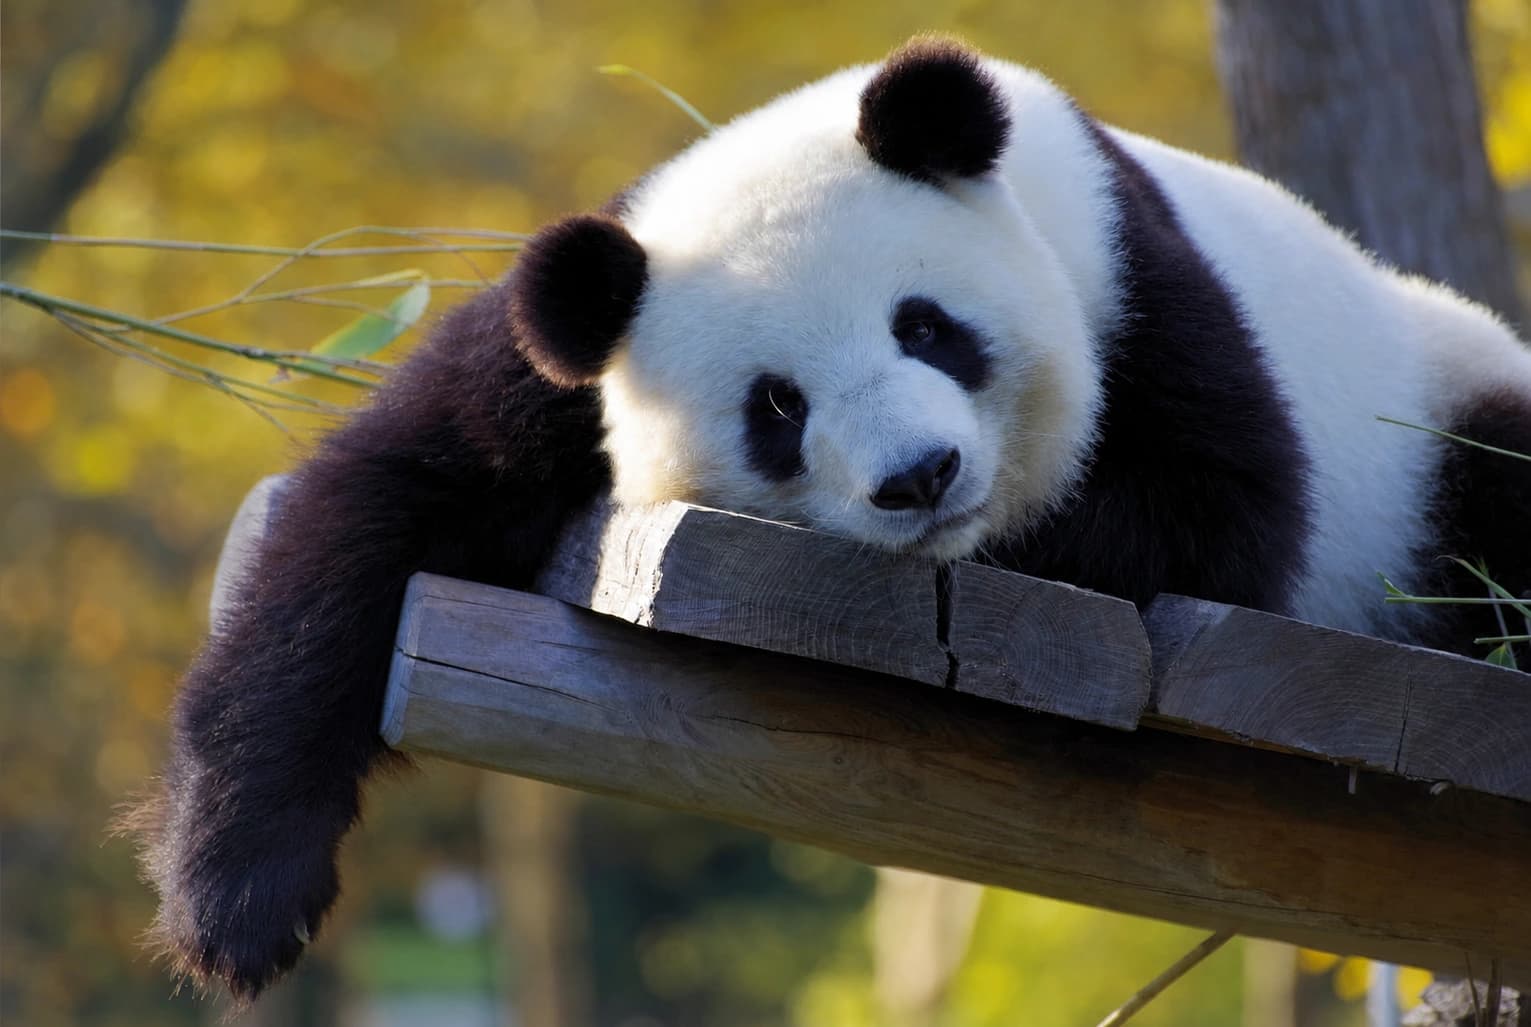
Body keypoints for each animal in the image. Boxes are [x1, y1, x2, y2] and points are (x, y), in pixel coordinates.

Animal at [136, 36, 1531, 1002]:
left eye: (926, 325)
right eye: (776, 406)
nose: (920, 476)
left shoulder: (1133, 275)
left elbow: (1215, 509)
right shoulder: (567, 350)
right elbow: (371, 511)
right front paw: (234, 903)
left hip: (1436, 411)